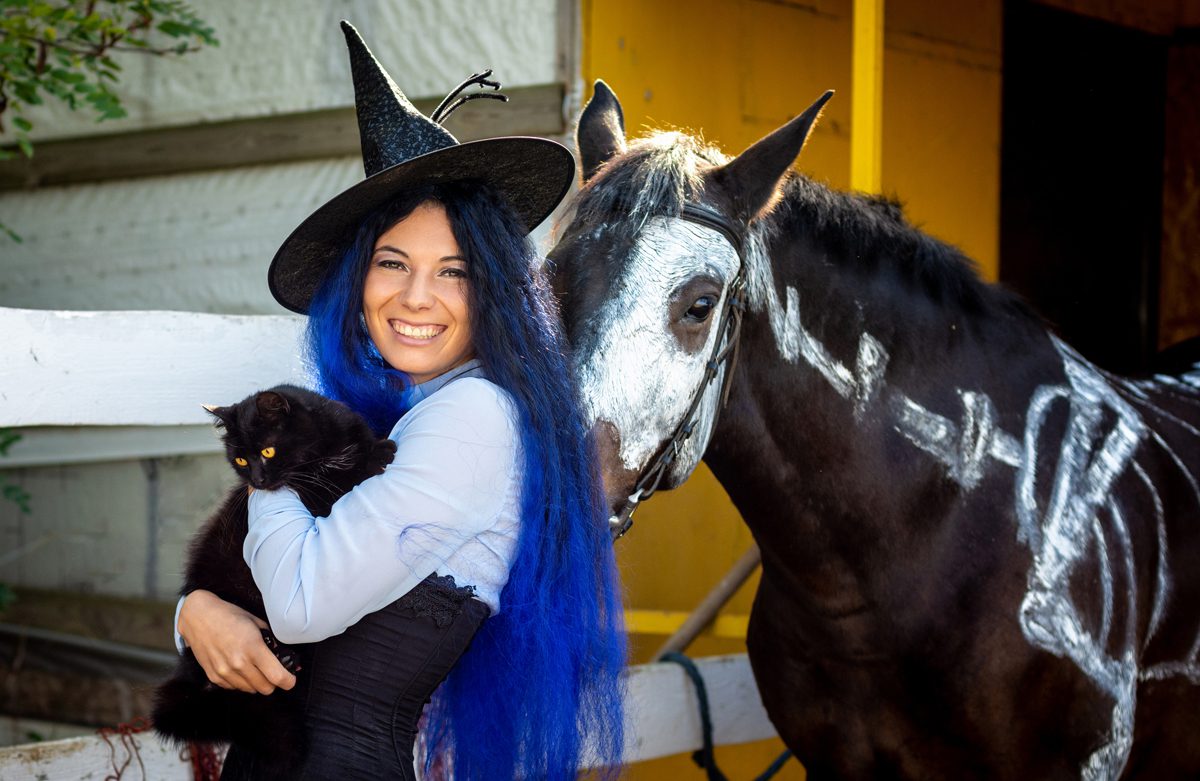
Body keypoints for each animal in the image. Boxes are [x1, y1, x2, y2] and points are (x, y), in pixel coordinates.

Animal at [152, 388, 396, 777]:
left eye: (267, 451)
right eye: (239, 459)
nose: (258, 481)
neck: (326, 449)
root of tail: (191, 677)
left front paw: (376, 446)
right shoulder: (315, 499)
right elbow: (340, 483)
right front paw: (375, 455)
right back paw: (276, 651)